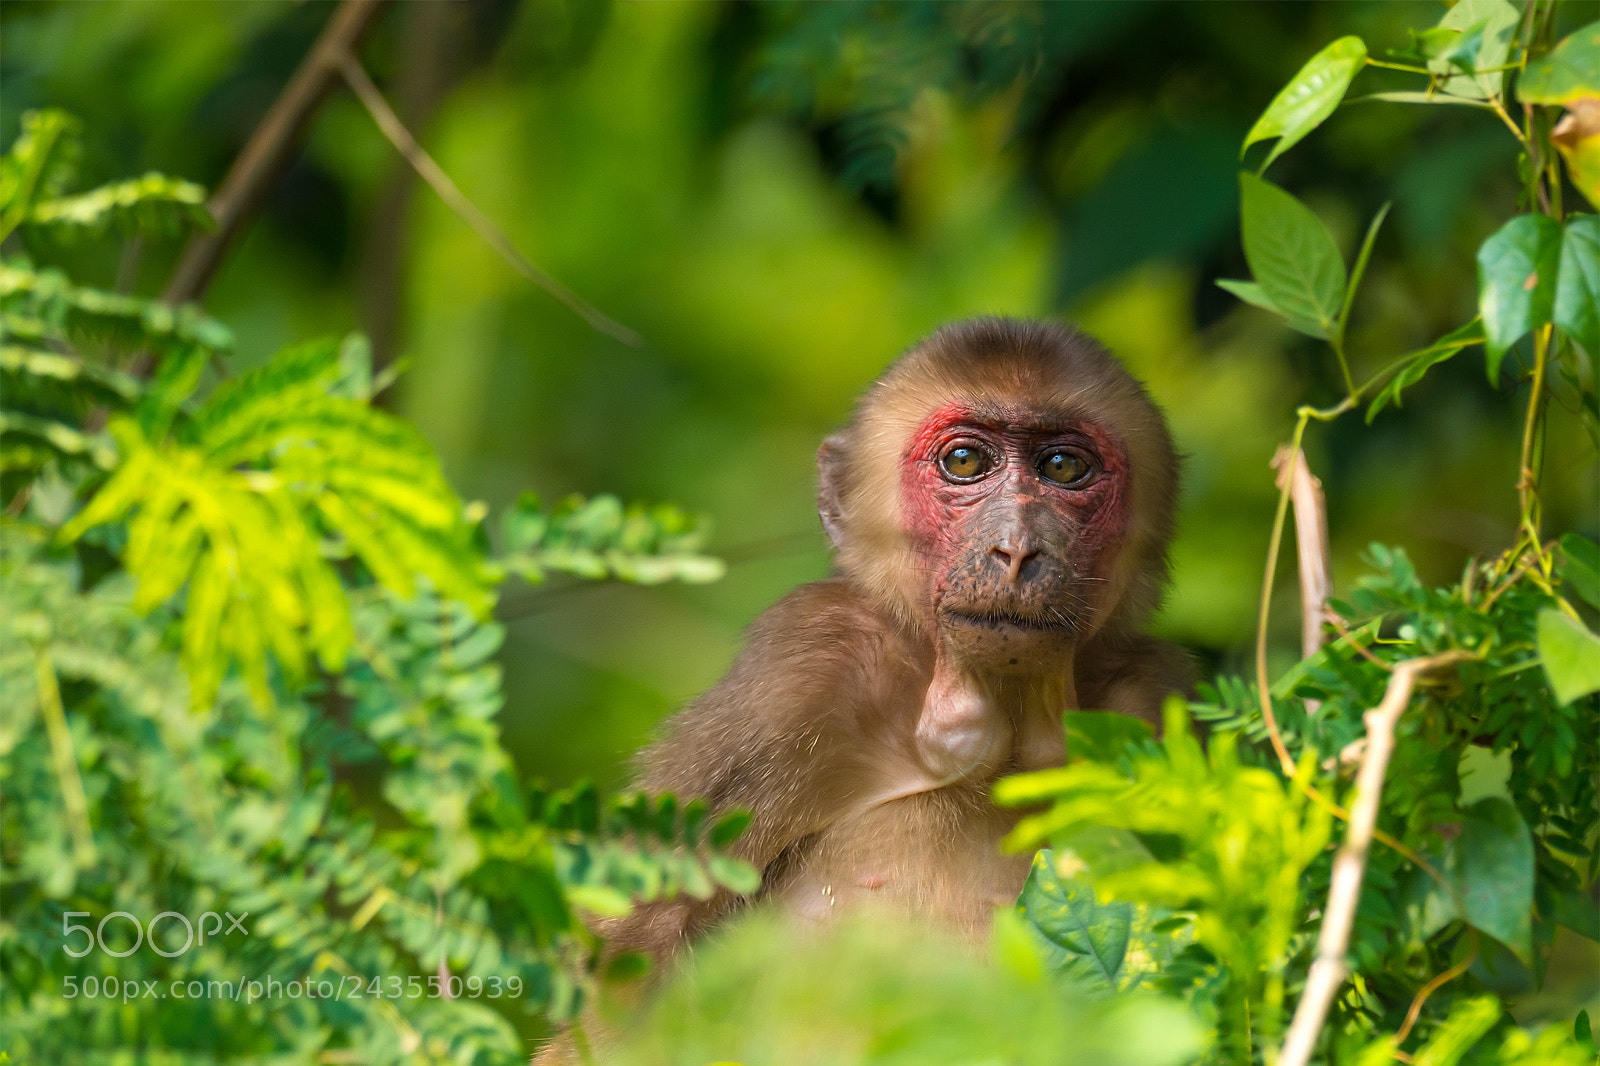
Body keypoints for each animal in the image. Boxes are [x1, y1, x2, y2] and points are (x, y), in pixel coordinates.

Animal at [537, 317, 1192, 1059]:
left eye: (1063, 468)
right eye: (964, 462)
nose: (1017, 550)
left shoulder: (1151, 702)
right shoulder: (804, 672)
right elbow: (615, 1008)